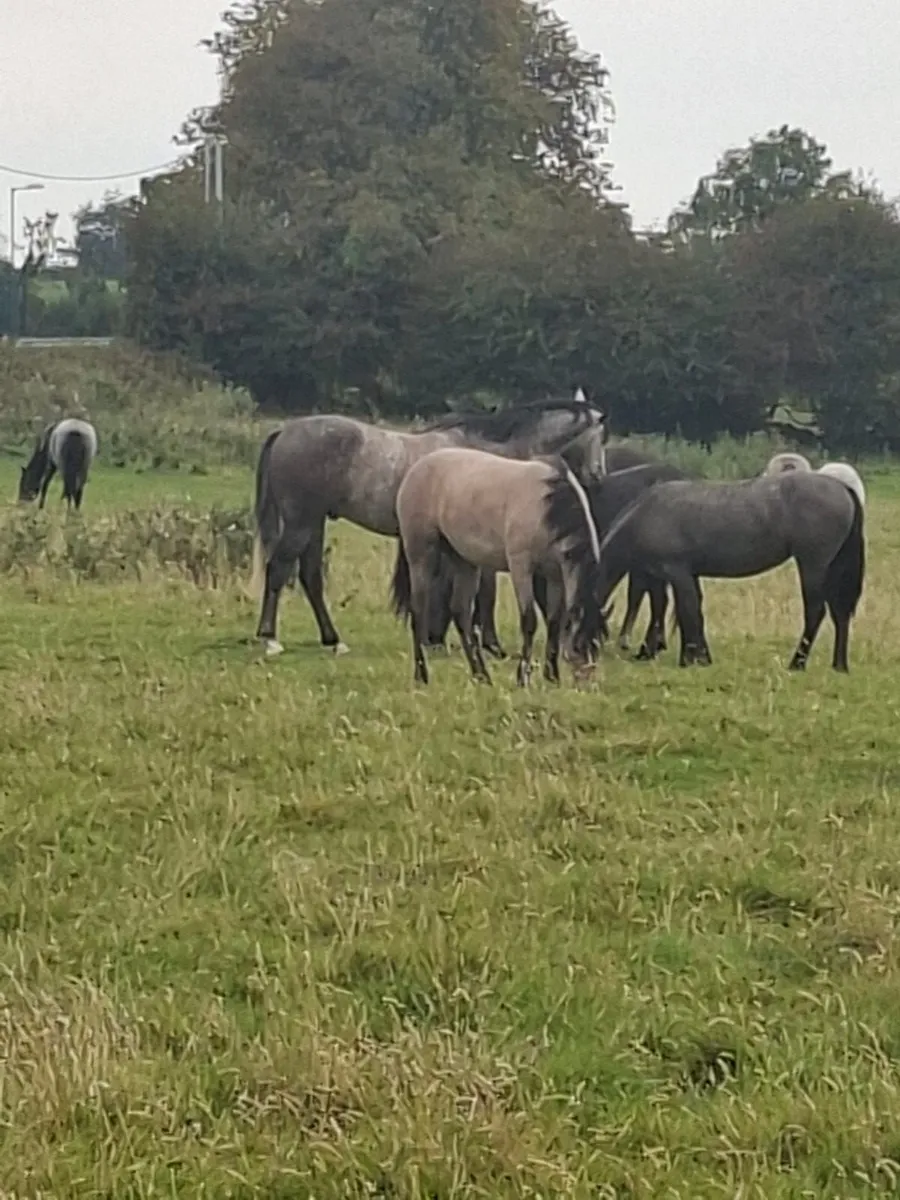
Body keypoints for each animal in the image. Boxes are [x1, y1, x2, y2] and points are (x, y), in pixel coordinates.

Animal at [248, 393, 608, 658]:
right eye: (601, 437)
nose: (598, 475)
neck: (489, 456)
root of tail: (285, 432)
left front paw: (438, 637)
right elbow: (485, 593)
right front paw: (488, 644)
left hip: (315, 521)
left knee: (310, 577)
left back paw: (333, 640)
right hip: (301, 521)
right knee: (279, 569)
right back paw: (270, 638)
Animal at [390, 446, 603, 687]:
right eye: (580, 645)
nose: (587, 684)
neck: (548, 508)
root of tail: (417, 467)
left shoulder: (555, 575)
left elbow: (555, 622)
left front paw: (552, 677)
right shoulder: (521, 568)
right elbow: (529, 620)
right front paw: (523, 678)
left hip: (464, 560)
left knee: (461, 612)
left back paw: (481, 675)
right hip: (421, 554)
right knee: (418, 610)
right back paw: (421, 676)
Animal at [592, 471, 865, 672]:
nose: (590, 655)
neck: (645, 515)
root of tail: (842, 488)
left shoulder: (676, 573)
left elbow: (686, 611)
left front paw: (690, 659)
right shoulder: (675, 576)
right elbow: (684, 610)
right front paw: (694, 656)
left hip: (813, 565)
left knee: (816, 612)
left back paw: (797, 663)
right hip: (833, 568)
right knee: (840, 613)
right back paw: (839, 665)